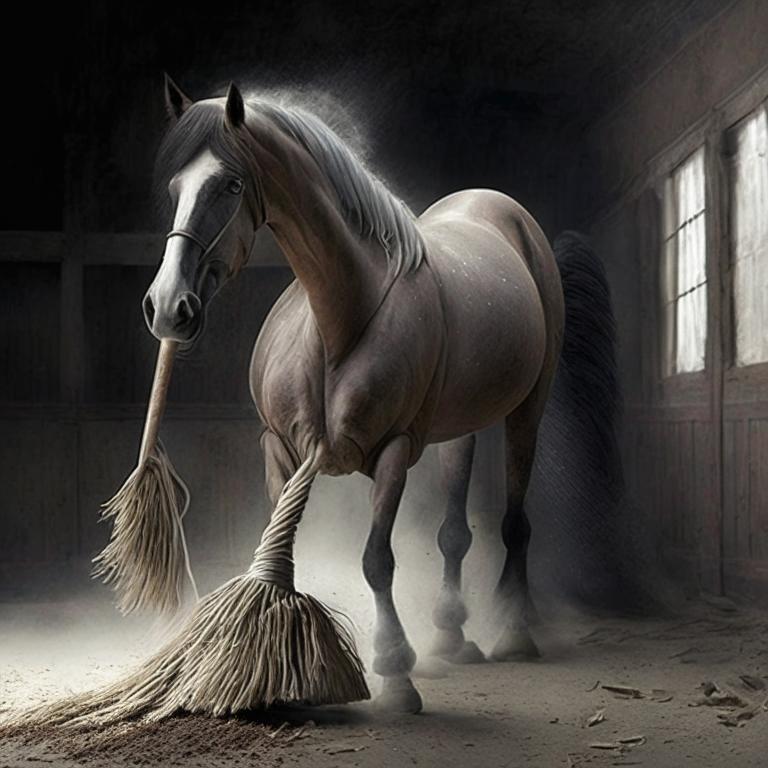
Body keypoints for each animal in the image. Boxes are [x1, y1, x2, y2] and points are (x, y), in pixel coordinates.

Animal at [142, 76, 613, 713]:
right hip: (458, 426)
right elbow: (286, 549)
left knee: (515, 521)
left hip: (526, 411)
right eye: (176, 187)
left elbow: (376, 561)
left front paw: (394, 672)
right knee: (454, 532)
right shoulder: (278, 448)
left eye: (231, 184)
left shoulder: (394, 451)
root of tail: (498, 206)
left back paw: (513, 632)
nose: (168, 306)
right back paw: (450, 638)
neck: (341, 316)